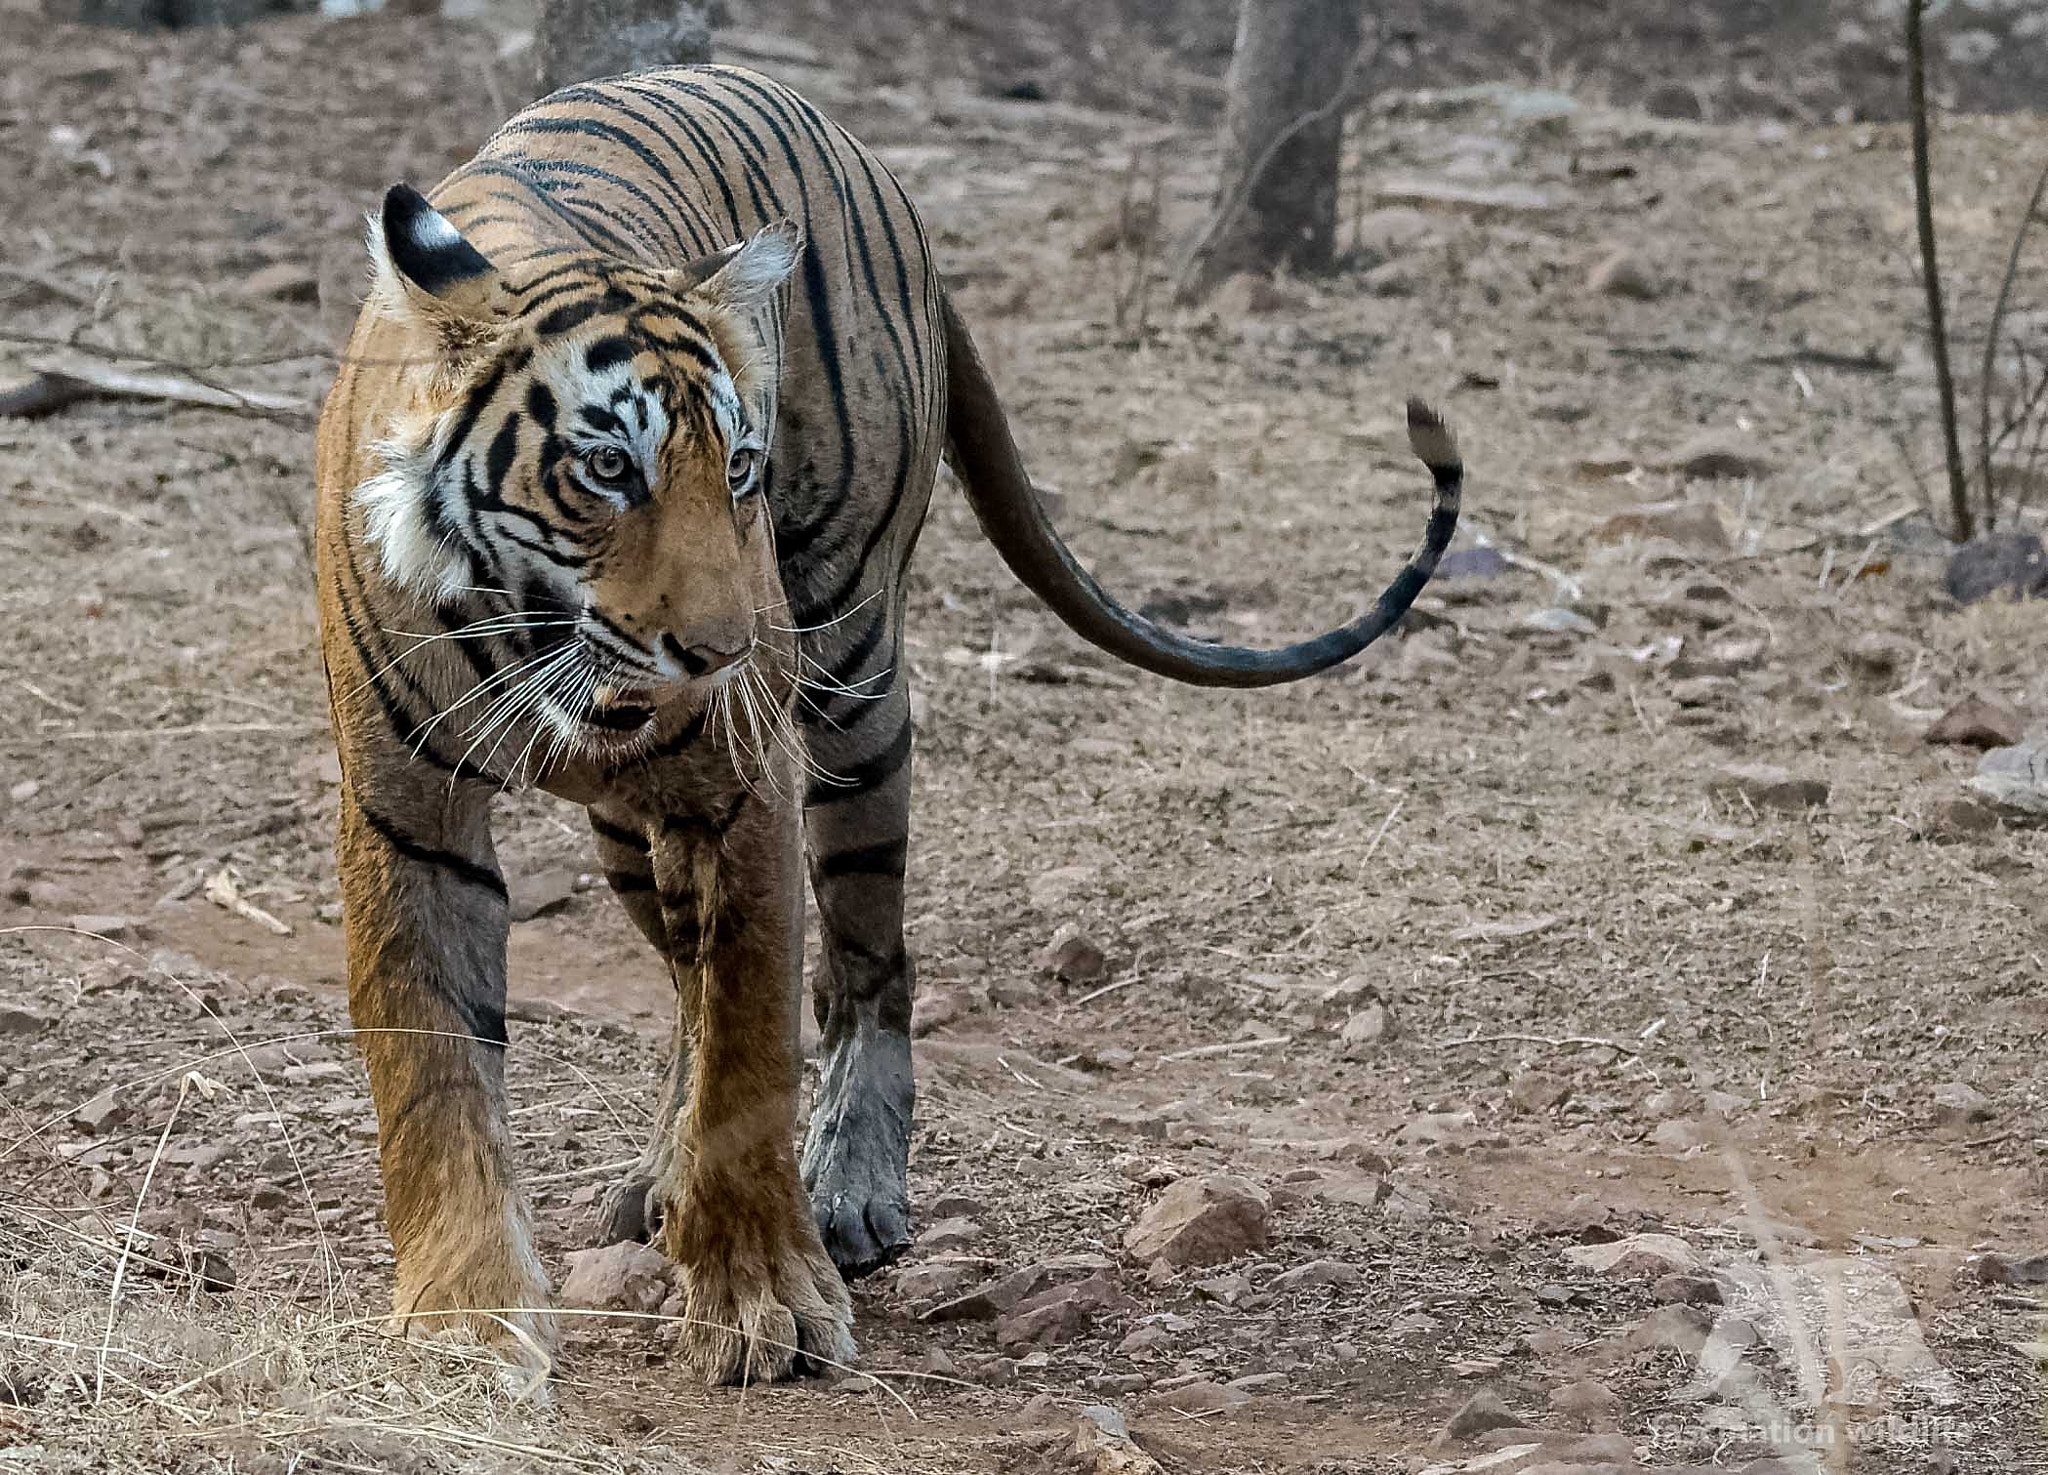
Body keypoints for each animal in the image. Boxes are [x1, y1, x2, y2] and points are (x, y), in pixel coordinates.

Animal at [314, 64, 1462, 1386]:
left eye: (738, 467)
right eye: (607, 470)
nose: (723, 652)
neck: (526, 629)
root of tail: (830, 123)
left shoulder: (739, 785)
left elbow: (751, 1044)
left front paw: (764, 1297)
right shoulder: (406, 811)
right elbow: (432, 1064)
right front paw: (462, 1320)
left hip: (855, 685)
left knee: (872, 963)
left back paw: (850, 1188)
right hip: (628, 821)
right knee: (682, 980)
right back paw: (661, 1179)